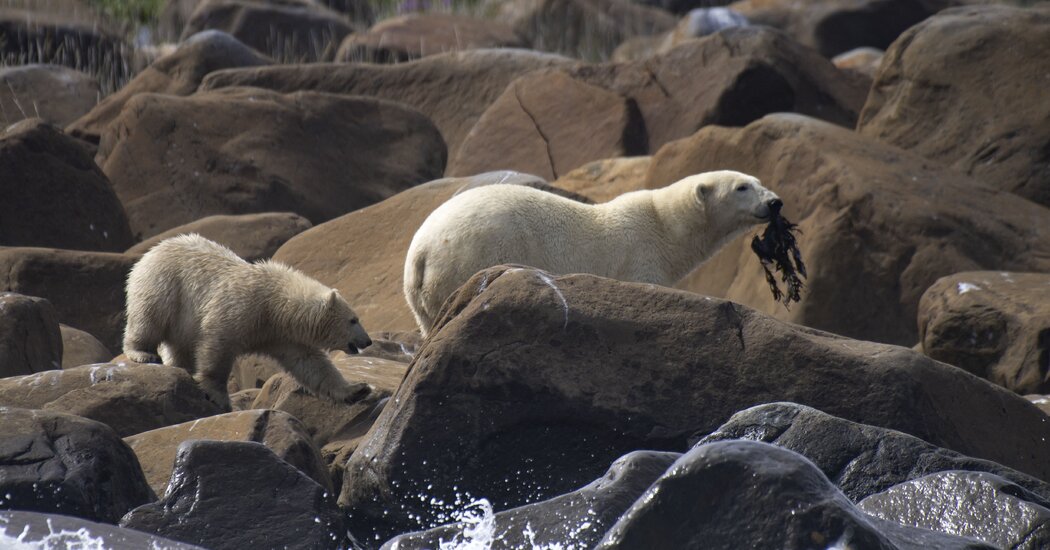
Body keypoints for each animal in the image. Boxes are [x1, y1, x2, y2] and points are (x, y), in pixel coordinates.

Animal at [123, 234, 373, 408]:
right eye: (353, 320)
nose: (368, 341)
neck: (274, 304)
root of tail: (154, 249)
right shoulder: (239, 308)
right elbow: (217, 347)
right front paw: (218, 395)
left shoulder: (281, 335)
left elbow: (312, 364)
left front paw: (357, 389)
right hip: (164, 286)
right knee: (148, 320)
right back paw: (143, 353)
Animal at [404, 170, 782, 335]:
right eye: (742, 187)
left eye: (759, 181)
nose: (775, 202)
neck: (664, 224)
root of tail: (421, 251)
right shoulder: (640, 259)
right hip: (475, 251)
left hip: (421, 297)